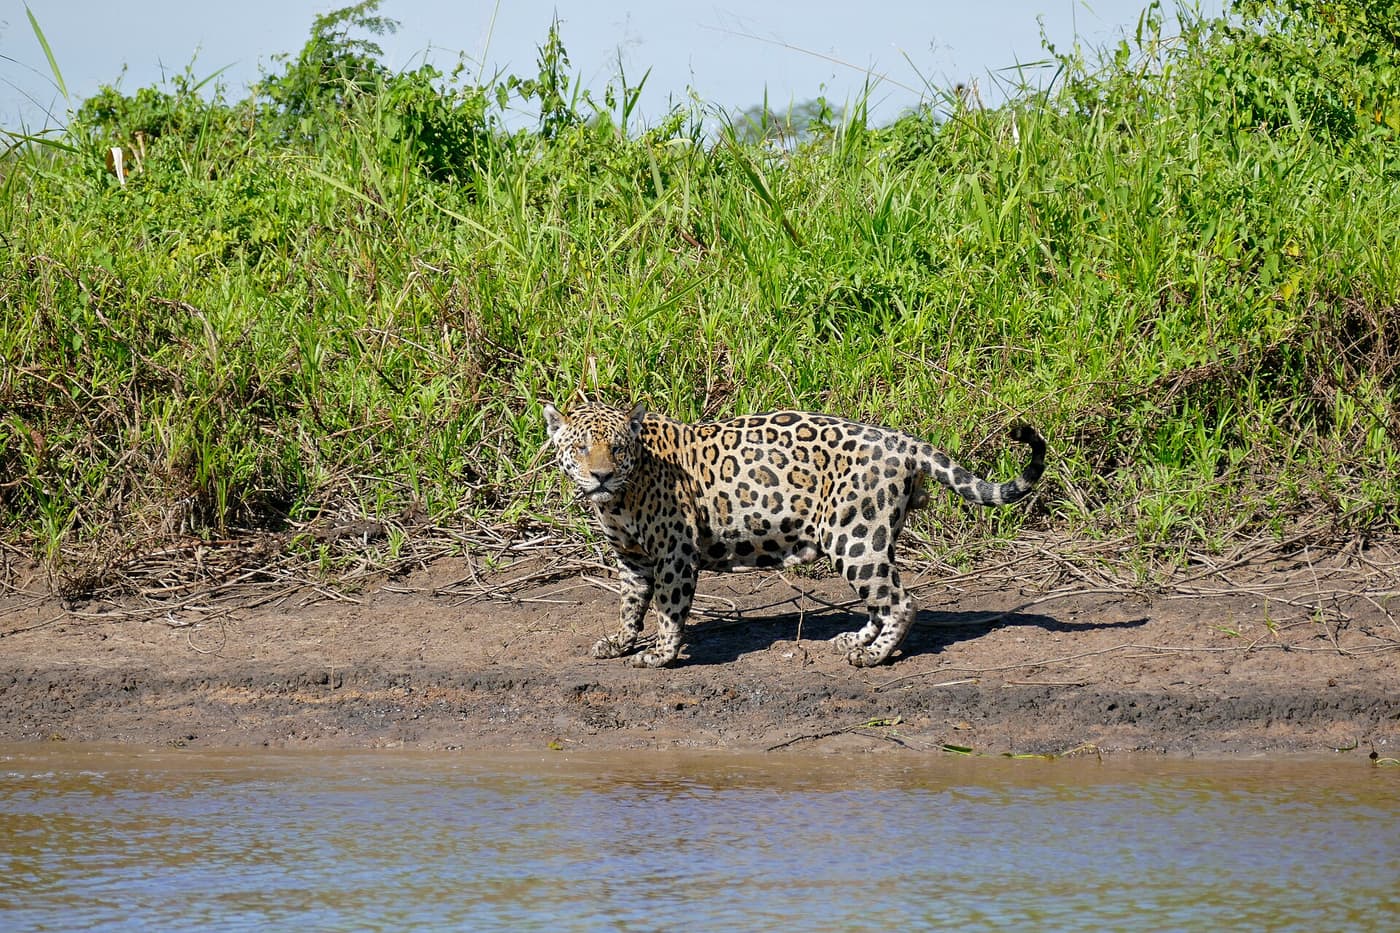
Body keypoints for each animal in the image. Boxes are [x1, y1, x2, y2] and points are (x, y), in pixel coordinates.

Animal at [543, 401, 1046, 668]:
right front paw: (620, 642)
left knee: (903, 602)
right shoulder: (633, 559)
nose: (601, 476)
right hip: (869, 536)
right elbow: (630, 604)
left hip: (854, 535)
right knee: (881, 599)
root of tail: (902, 440)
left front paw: (661, 655)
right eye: (580, 448)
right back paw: (856, 640)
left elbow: (668, 609)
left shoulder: (675, 553)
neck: (620, 497)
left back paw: (874, 656)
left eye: (618, 449)